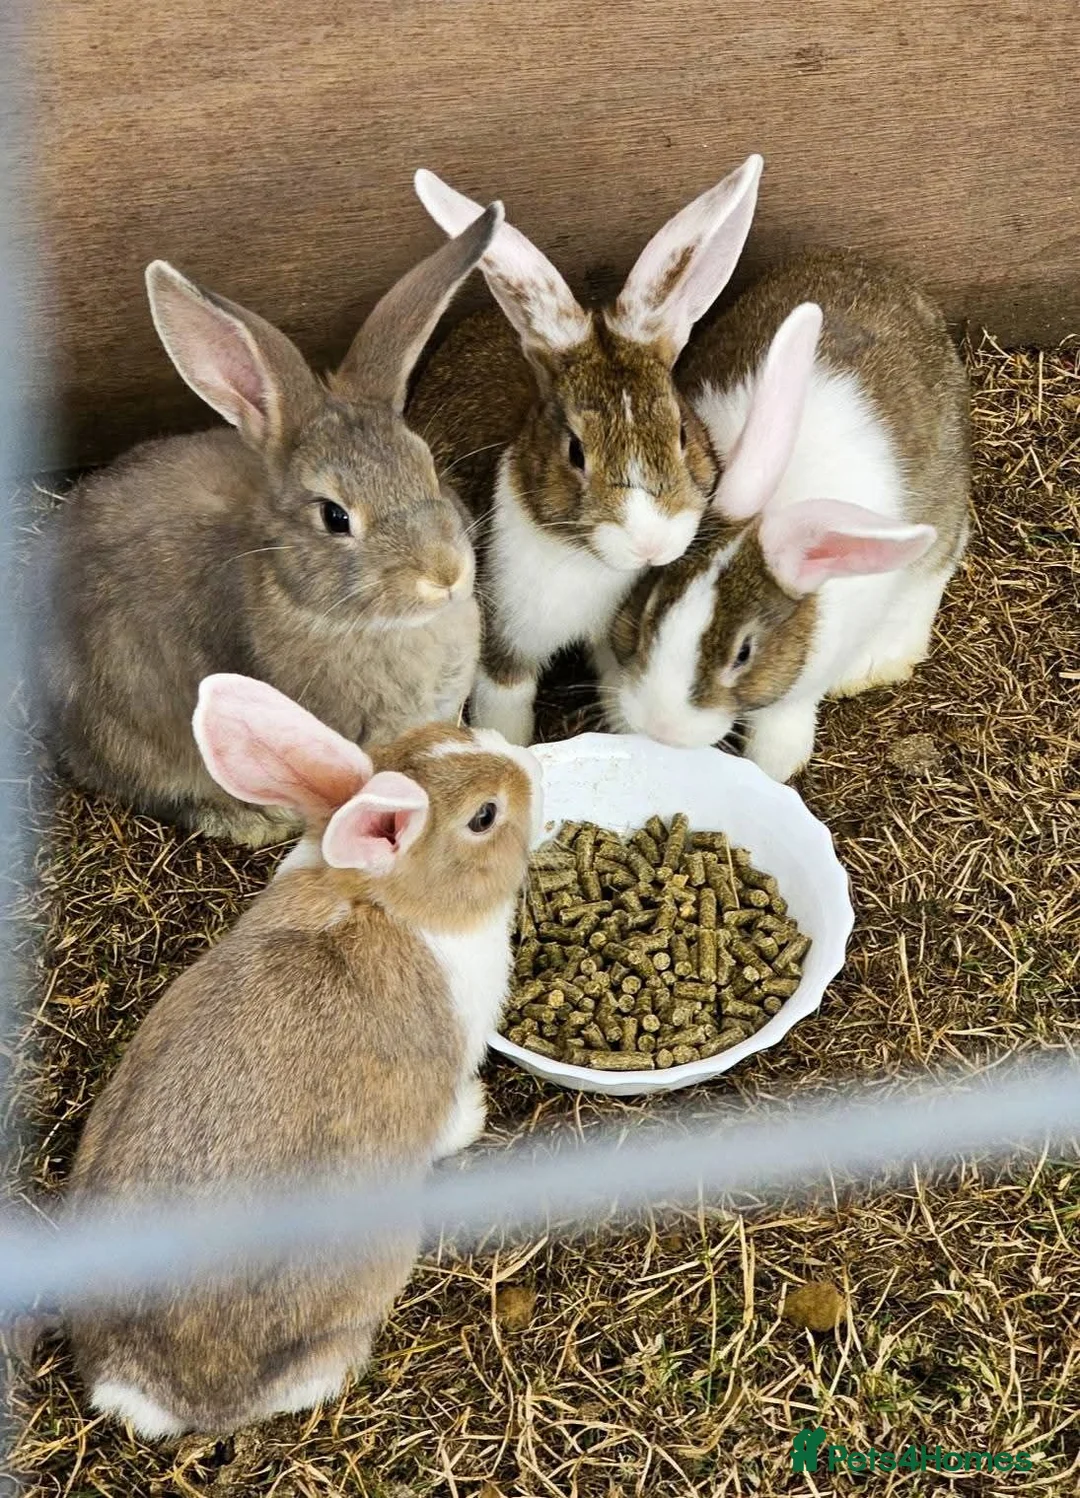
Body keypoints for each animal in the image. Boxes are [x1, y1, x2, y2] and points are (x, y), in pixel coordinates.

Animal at [407, 156, 764, 746]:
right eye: (575, 451)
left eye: (682, 431)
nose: (650, 544)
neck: (587, 563)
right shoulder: (505, 645)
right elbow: (506, 710)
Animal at [598, 252, 970, 782]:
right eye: (650, 612)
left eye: (744, 654)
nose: (660, 728)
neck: (767, 514)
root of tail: (886, 276)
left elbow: (781, 726)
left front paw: (775, 768)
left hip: (936, 524)